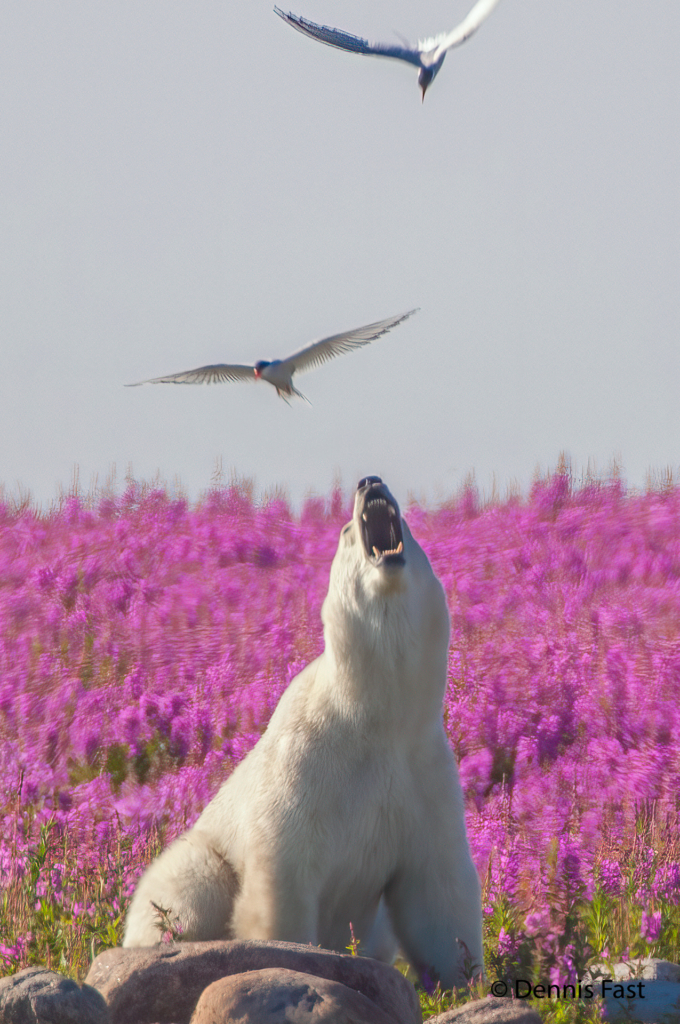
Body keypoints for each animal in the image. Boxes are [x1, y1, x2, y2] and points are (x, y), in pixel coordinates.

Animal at [122, 475, 483, 987]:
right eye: (346, 533)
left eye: (410, 526)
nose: (370, 481)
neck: (374, 717)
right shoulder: (303, 771)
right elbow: (282, 880)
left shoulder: (423, 776)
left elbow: (439, 894)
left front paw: (465, 978)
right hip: (202, 856)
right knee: (185, 889)